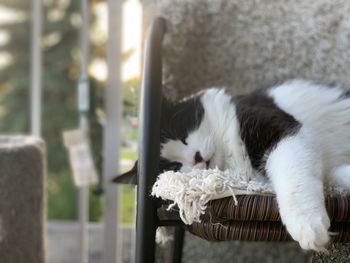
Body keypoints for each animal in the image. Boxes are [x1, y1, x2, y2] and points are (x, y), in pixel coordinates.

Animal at [116, 80, 350, 252]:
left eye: (182, 134)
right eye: (174, 165)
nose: (197, 158)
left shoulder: (280, 128)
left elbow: (294, 174)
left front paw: (308, 224)